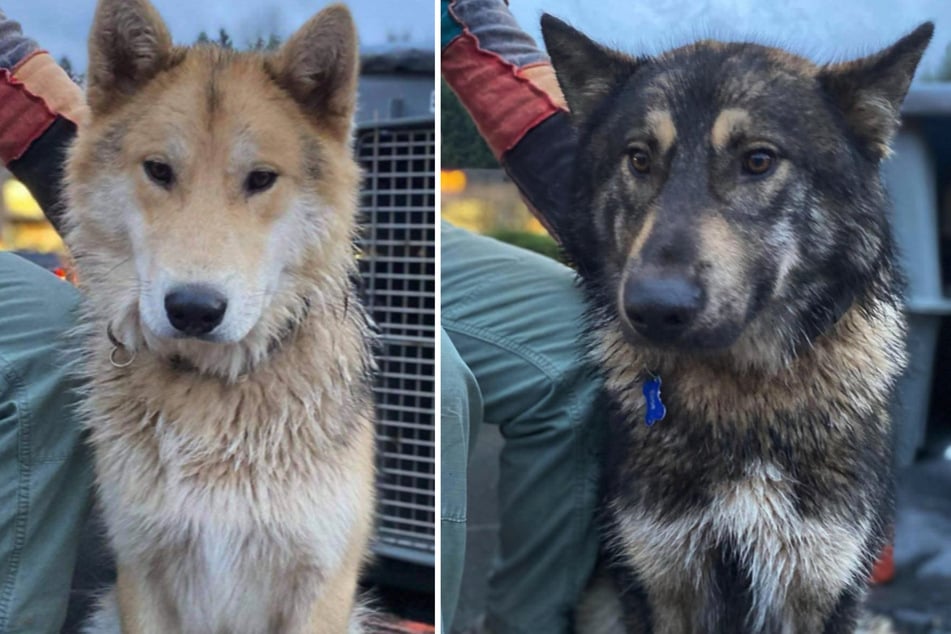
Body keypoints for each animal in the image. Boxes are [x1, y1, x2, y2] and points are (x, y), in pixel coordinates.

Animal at [540, 13, 932, 632]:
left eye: (758, 160)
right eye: (639, 159)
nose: (654, 307)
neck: (744, 395)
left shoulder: (817, 588)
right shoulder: (661, 583)